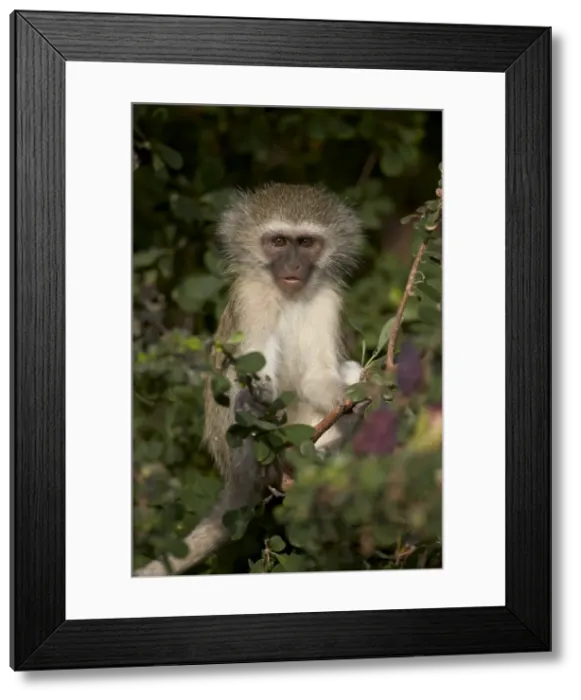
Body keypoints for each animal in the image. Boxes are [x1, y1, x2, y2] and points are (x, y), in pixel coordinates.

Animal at [134, 182, 366, 577]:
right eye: (278, 241)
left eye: (306, 243)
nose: (293, 266)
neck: (288, 295)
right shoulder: (251, 297)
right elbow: (251, 374)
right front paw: (257, 397)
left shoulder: (328, 297)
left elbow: (319, 378)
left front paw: (353, 397)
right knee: (237, 392)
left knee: (350, 370)